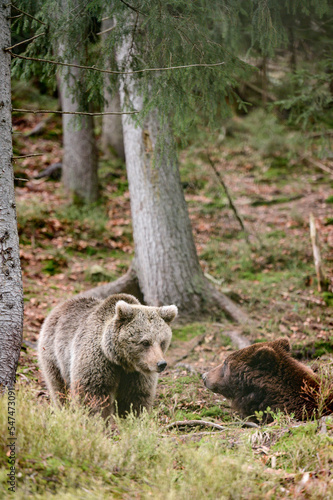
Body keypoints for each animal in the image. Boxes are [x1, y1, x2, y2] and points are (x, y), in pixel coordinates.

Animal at [38, 292, 178, 418]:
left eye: (162, 342)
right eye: (145, 342)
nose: (161, 363)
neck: (121, 361)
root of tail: (61, 305)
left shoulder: (137, 375)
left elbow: (135, 398)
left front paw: (133, 419)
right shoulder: (97, 362)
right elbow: (93, 394)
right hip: (54, 354)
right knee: (58, 386)